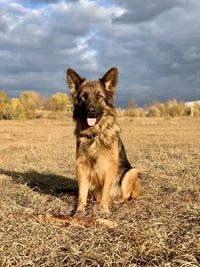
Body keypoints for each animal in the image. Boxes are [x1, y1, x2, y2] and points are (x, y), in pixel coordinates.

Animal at [66, 68, 143, 215]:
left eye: (99, 96)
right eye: (83, 96)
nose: (91, 111)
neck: (95, 135)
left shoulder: (109, 167)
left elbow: (106, 193)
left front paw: (104, 211)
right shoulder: (81, 167)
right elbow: (82, 193)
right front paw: (79, 211)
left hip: (131, 172)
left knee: (126, 196)